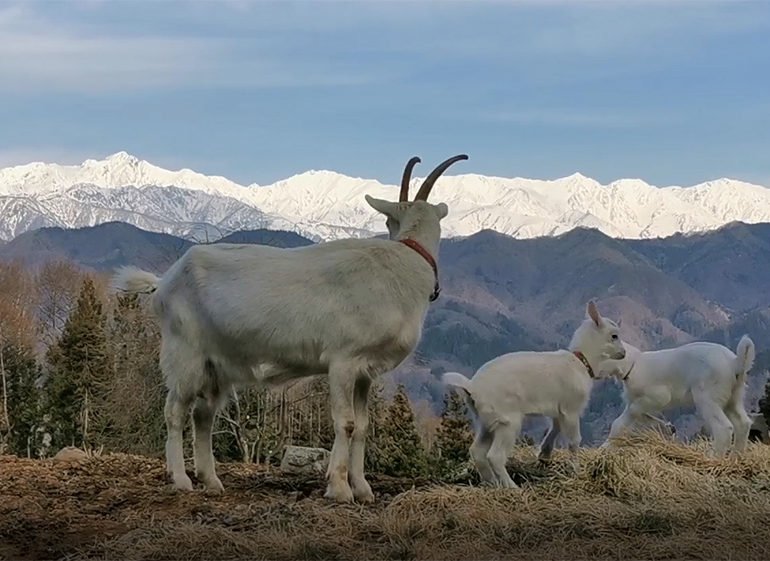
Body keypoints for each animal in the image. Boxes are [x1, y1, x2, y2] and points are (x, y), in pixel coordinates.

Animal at [110, 154, 464, 504]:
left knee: (203, 416)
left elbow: (363, 426)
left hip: (216, 366)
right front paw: (339, 488)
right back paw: (180, 479)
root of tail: (163, 282)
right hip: (185, 352)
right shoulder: (343, 360)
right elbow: (346, 422)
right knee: (174, 411)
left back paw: (211, 480)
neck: (404, 263)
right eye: (390, 222)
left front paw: (363, 489)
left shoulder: (367, 372)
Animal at [438, 300, 624, 488]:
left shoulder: (558, 409)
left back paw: (492, 483)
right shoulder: (571, 408)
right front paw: (576, 472)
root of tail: (471, 386)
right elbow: (574, 441)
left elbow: (554, 428)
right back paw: (512, 487)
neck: (581, 362)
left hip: (486, 421)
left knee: (477, 451)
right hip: (507, 420)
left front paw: (544, 455)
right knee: (495, 456)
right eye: (614, 336)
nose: (623, 353)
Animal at [596, 332, 752, 456]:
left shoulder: (658, 396)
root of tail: (735, 363)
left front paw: (666, 427)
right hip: (733, 396)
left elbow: (636, 411)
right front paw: (602, 449)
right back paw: (736, 458)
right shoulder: (633, 402)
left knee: (723, 428)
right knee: (742, 423)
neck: (634, 364)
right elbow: (618, 424)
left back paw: (713, 458)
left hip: (707, 397)